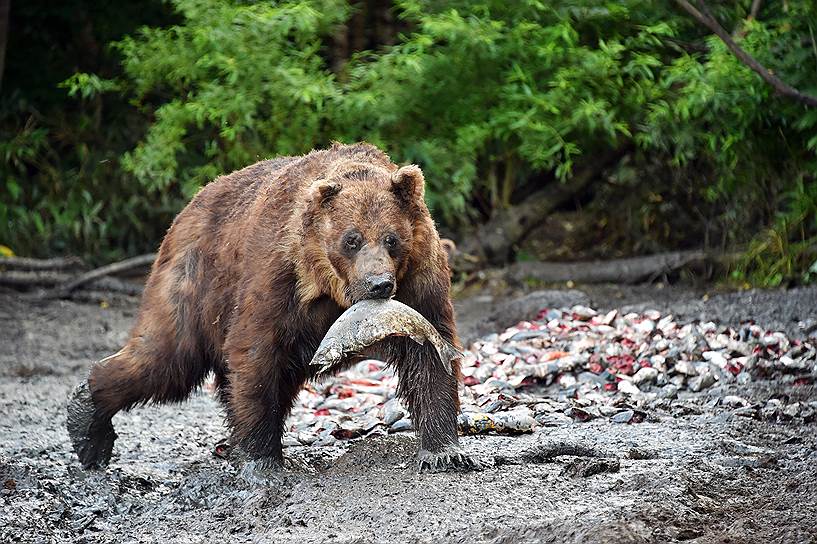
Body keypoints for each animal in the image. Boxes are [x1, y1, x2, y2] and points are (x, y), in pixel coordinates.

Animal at [70, 142, 478, 474]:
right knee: (166, 357)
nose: (379, 284)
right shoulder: (279, 275)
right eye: (352, 239)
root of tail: (188, 207)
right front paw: (261, 461)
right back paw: (87, 424)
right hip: (194, 281)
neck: (329, 289)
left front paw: (444, 452)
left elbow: (430, 351)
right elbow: (255, 350)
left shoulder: (418, 279)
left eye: (392, 239)